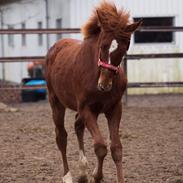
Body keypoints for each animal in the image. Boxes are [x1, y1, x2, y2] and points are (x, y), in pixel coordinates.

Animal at [45, 1, 141, 183]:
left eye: (124, 49)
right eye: (103, 45)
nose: (104, 85)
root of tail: (55, 48)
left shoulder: (114, 108)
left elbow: (116, 148)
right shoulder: (87, 109)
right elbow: (100, 146)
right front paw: (97, 176)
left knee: (77, 126)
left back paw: (83, 173)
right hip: (56, 102)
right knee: (61, 136)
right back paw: (68, 176)